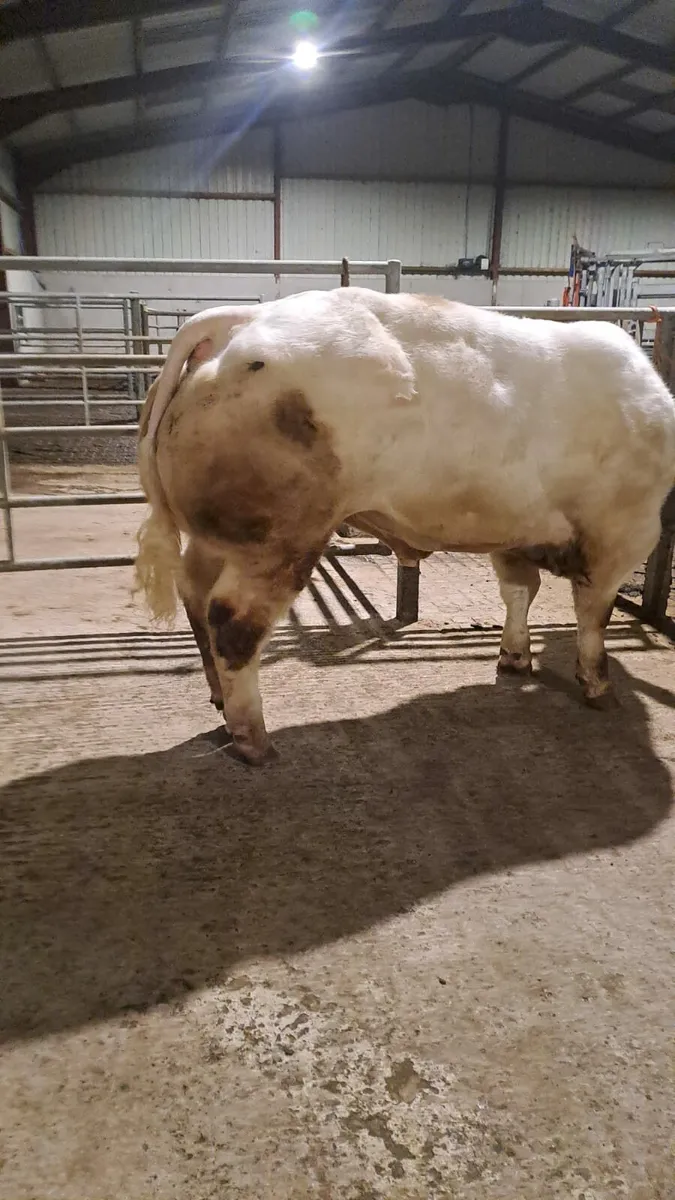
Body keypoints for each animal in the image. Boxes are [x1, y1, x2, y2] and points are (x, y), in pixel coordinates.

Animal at [134, 287, 675, 765]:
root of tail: (241, 320)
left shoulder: (514, 529)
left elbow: (520, 593)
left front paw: (515, 658)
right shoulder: (622, 531)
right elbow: (593, 614)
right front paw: (598, 686)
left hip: (219, 537)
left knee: (196, 597)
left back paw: (220, 703)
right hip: (279, 541)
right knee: (233, 622)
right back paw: (253, 739)